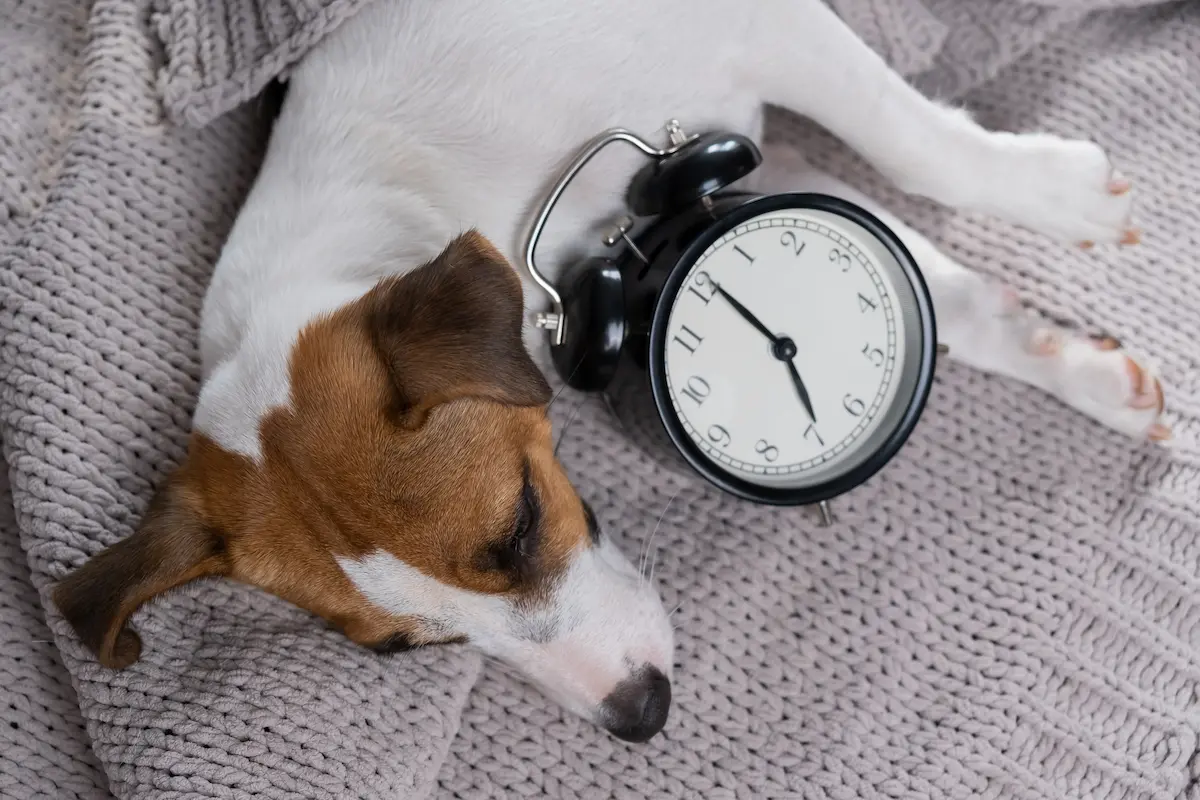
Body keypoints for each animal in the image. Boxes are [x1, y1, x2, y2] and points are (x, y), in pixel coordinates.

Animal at [51, 0, 1166, 743]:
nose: (640, 715)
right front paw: (1074, 365)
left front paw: (1053, 194)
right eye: (406, 651)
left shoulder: (770, 35)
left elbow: (915, 150)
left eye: (518, 524)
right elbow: (923, 282)